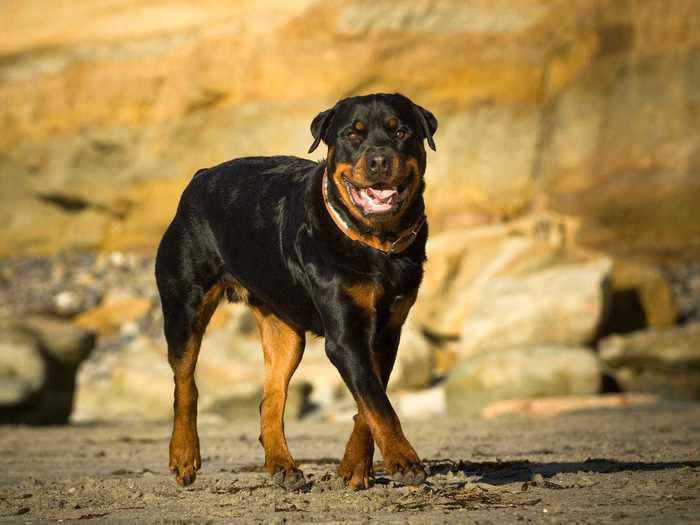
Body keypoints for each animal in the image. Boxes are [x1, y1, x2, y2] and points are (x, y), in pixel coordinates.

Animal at [157, 92, 438, 490]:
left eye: (401, 132)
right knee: (184, 383)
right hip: (185, 305)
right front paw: (404, 460)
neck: (375, 243)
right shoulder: (345, 336)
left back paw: (282, 465)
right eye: (353, 135)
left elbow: (370, 402)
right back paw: (184, 455)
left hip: (284, 329)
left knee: (270, 398)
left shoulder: (387, 332)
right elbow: (378, 403)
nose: (379, 160)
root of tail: (199, 177)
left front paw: (354, 466)